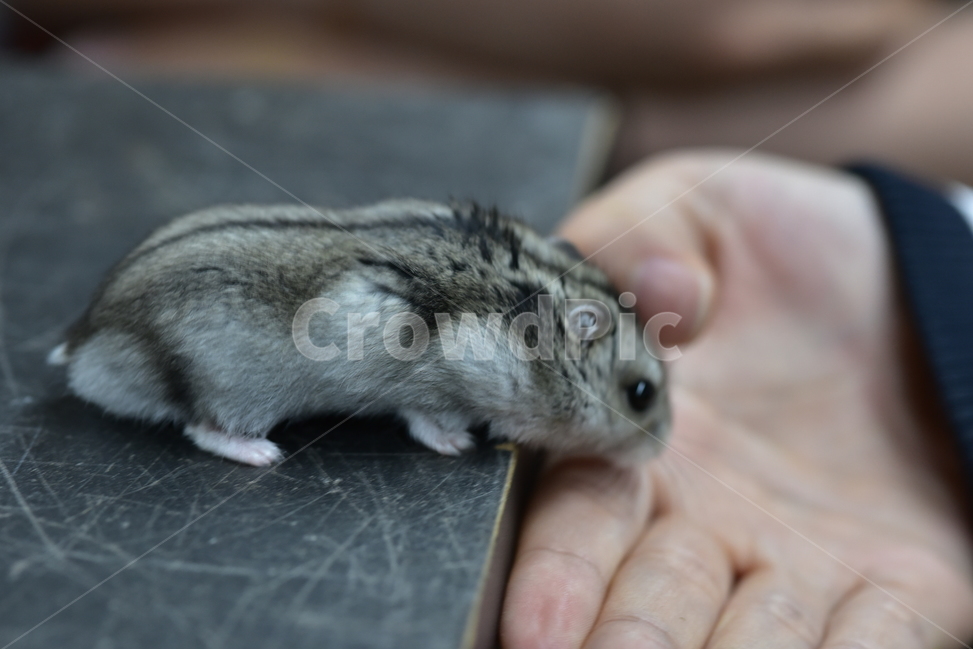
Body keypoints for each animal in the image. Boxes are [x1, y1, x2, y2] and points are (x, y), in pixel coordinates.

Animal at [48, 200, 670, 466]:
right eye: (641, 394)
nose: (660, 451)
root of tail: (86, 341)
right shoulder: (441, 381)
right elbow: (426, 419)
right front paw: (461, 444)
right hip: (234, 391)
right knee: (203, 429)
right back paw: (264, 454)